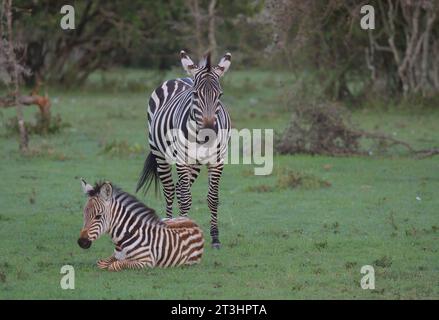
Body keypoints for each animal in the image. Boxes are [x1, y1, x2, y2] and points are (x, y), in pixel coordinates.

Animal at [77, 179, 205, 272]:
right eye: (84, 214)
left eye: (98, 216)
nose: (81, 242)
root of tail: (193, 222)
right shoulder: (116, 255)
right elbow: (101, 263)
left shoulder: (147, 261)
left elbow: (114, 265)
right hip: (166, 220)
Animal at [137, 50, 234, 250]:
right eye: (195, 94)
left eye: (220, 95)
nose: (209, 133)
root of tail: (180, 78)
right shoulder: (182, 160)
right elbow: (186, 198)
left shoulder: (218, 161)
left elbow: (212, 198)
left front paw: (215, 238)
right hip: (161, 155)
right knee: (170, 191)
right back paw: (170, 225)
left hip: (194, 164)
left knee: (180, 188)